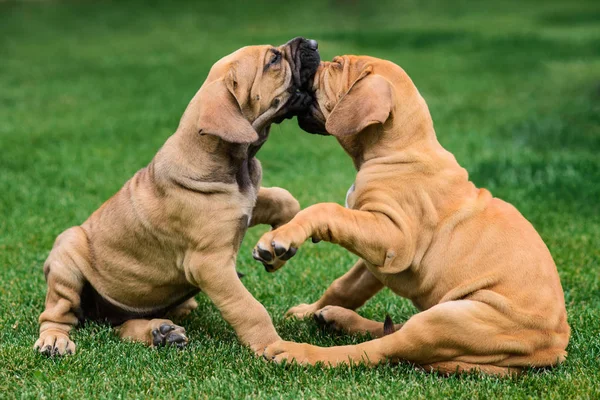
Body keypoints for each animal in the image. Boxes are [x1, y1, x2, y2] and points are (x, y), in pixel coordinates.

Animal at [35, 37, 322, 356]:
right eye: (273, 60)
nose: (313, 42)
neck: (237, 165)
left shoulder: (247, 202)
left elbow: (285, 199)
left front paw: (274, 250)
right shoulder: (210, 264)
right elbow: (248, 308)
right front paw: (274, 346)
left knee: (120, 327)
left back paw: (161, 332)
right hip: (67, 253)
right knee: (58, 314)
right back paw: (55, 340)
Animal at [253, 54, 572, 374]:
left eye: (337, 65)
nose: (314, 57)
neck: (398, 149)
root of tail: (553, 350)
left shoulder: (394, 237)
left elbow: (326, 209)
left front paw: (280, 240)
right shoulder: (380, 255)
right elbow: (345, 286)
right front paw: (309, 311)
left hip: (449, 320)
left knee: (378, 350)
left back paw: (298, 352)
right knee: (390, 333)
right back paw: (335, 318)